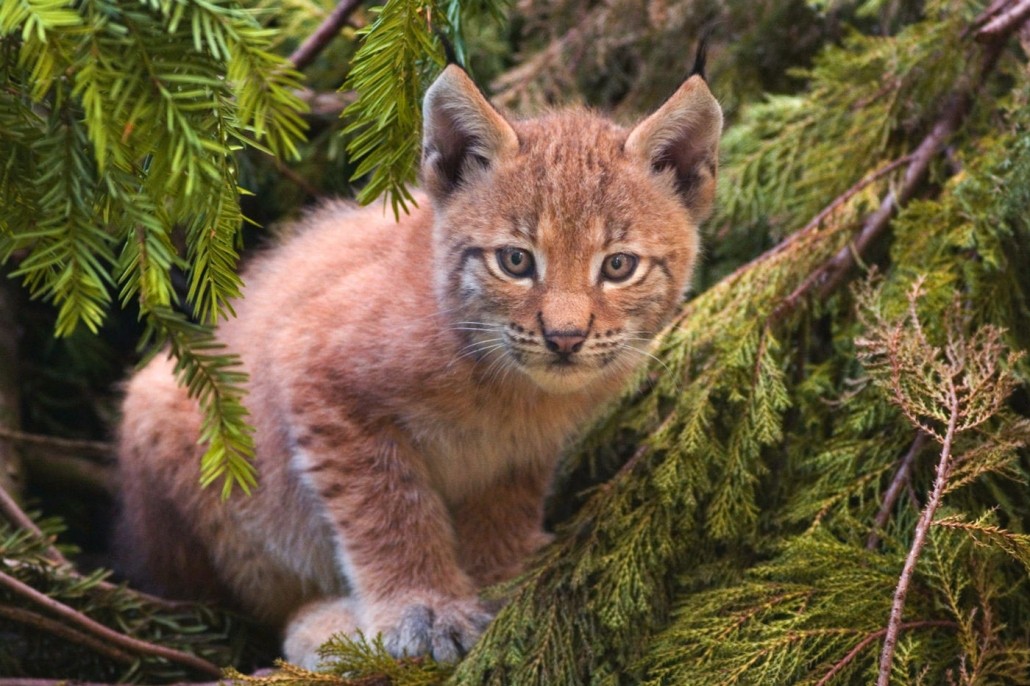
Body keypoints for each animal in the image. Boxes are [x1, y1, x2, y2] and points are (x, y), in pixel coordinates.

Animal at [116, 62, 721, 663]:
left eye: (618, 266)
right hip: (171, 411)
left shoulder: (520, 450)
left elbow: (505, 507)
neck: (509, 384)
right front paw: (424, 609)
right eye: (515, 261)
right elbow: (388, 510)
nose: (566, 338)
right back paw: (326, 629)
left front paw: (500, 578)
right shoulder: (315, 366)